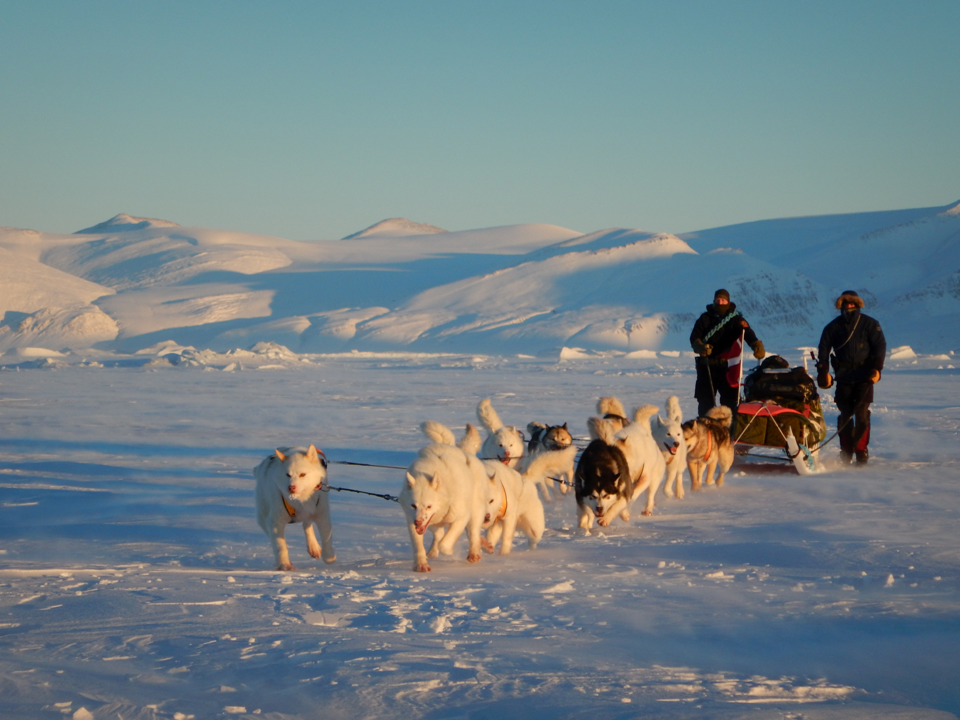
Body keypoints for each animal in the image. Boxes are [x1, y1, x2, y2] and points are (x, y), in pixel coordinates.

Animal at [253, 442, 336, 572]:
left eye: (302, 474)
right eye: (288, 474)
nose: (291, 487)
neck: (299, 499)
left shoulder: (322, 514)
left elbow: (326, 537)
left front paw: (329, 557)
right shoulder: (275, 521)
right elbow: (280, 545)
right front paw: (284, 564)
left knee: (307, 524)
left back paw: (313, 547)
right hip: (263, 516)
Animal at [398, 420, 488, 572]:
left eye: (429, 506)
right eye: (413, 505)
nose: (418, 522)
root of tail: (464, 452)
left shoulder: (461, 518)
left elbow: (445, 544)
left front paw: (449, 550)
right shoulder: (411, 520)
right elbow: (419, 546)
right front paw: (421, 564)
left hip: (476, 510)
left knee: (473, 533)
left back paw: (474, 553)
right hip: (433, 523)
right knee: (438, 534)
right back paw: (432, 552)